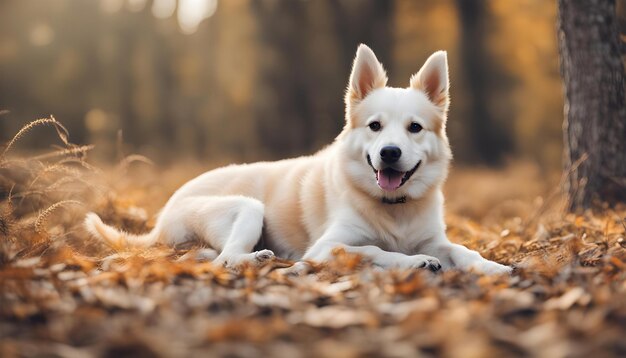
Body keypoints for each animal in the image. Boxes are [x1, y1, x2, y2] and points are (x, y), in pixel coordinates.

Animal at [84, 44, 512, 274]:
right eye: (375, 126)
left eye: (415, 128)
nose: (389, 153)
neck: (394, 210)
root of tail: (164, 213)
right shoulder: (327, 247)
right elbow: (373, 251)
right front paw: (413, 262)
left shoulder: (436, 239)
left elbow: (463, 251)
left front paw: (495, 267)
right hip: (248, 207)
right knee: (225, 260)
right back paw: (256, 258)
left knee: (210, 256)